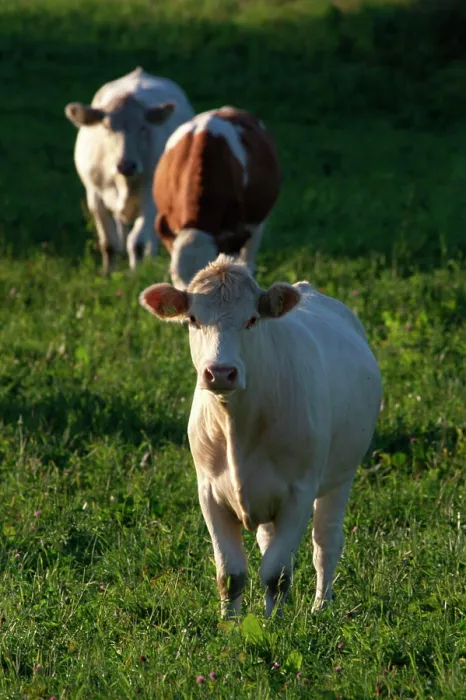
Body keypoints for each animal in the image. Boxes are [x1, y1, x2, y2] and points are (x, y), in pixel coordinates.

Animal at [65, 67, 195, 272]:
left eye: (143, 127)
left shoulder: (150, 198)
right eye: (107, 127)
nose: (127, 165)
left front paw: (136, 273)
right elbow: (109, 243)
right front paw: (108, 272)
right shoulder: (95, 195)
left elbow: (138, 242)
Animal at [139, 255, 382, 618]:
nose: (220, 372)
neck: (237, 427)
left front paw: (274, 624)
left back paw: (320, 607)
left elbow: (275, 572)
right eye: (193, 319)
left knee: (325, 542)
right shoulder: (209, 493)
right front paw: (230, 624)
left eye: (252, 319)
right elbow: (231, 574)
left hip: (341, 476)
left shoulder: (299, 492)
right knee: (270, 541)